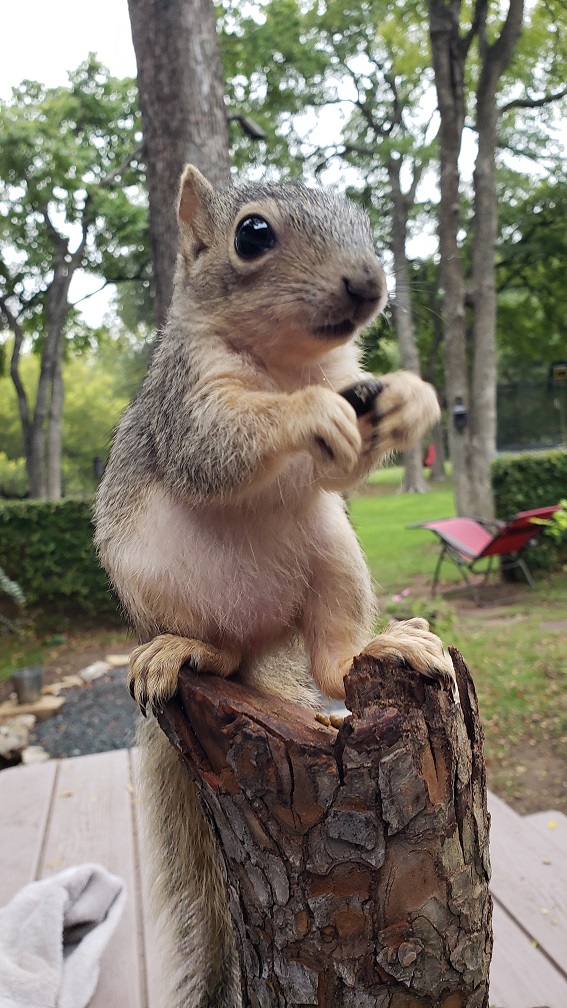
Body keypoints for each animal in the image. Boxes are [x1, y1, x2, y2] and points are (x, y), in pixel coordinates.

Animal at [93, 165, 456, 1008]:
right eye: (252, 234)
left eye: (361, 217)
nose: (368, 284)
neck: (288, 363)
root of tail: (265, 646)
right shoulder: (186, 402)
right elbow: (217, 448)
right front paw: (304, 411)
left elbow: (346, 463)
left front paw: (411, 398)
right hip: (160, 587)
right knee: (218, 652)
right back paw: (183, 651)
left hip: (335, 559)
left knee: (332, 660)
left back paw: (388, 643)